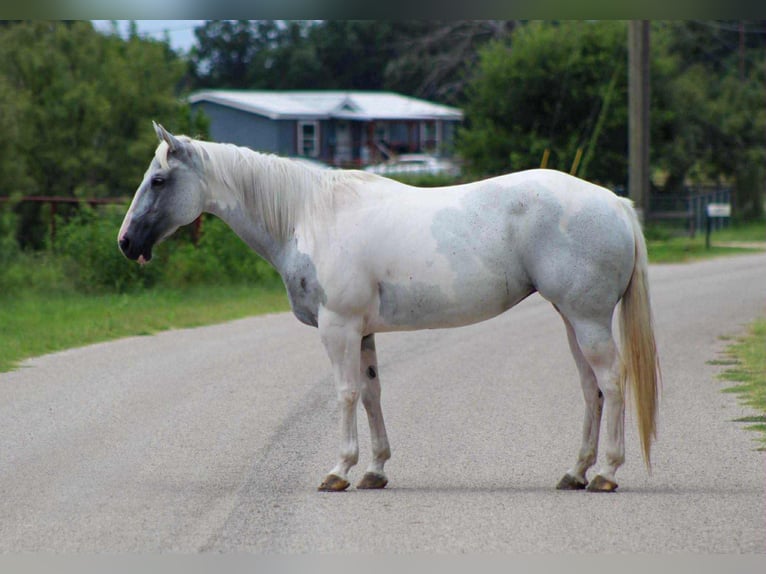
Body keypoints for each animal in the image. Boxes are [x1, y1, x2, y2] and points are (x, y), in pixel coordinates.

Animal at [119, 123, 660, 493]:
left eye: (159, 180)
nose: (126, 243)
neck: (308, 216)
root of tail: (615, 203)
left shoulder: (338, 328)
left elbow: (344, 393)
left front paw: (339, 470)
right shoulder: (362, 332)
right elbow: (372, 393)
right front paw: (375, 470)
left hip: (587, 319)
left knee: (612, 382)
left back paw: (606, 472)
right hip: (572, 319)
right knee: (590, 388)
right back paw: (576, 471)